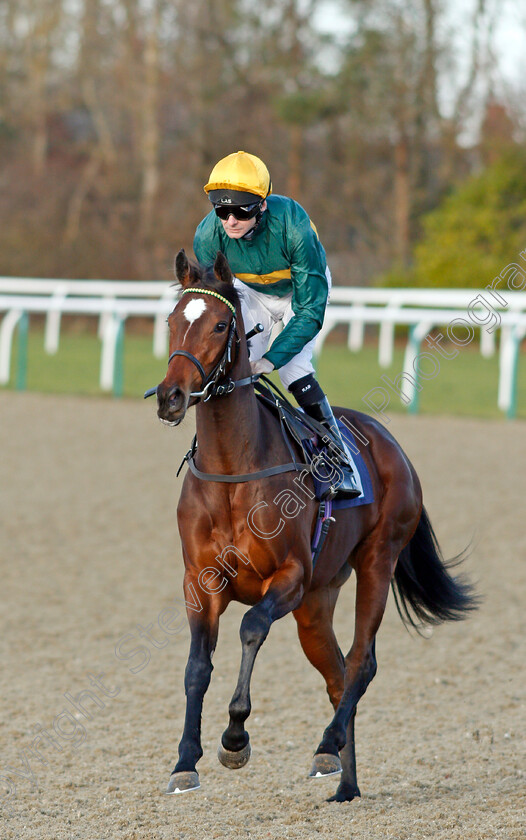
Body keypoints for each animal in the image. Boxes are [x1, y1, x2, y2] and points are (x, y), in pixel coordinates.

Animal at [153, 248, 478, 800]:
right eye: (174, 321)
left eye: (220, 324)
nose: (170, 396)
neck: (232, 472)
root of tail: (392, 446)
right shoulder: (201, 581)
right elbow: (197, 666)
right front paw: (184, 760)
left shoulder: (289, 575)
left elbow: (251, 627)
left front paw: (235, 737)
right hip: (316, 602)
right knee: (337, 673)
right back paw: (344, 781)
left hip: (375, 562)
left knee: (362, 662)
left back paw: (327, 746)